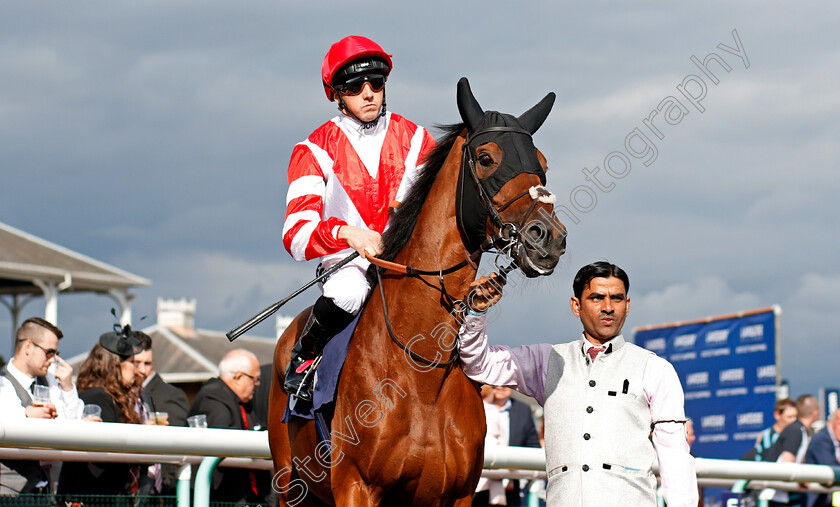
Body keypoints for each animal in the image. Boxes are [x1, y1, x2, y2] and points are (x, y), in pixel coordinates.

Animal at [270, 77, 568, 506]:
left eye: (541, 163)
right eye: (486, 158)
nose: (548, 238)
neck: (421, 370)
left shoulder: (457, 493)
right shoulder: (356, 486)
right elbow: (299, 224)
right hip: (291, 485)